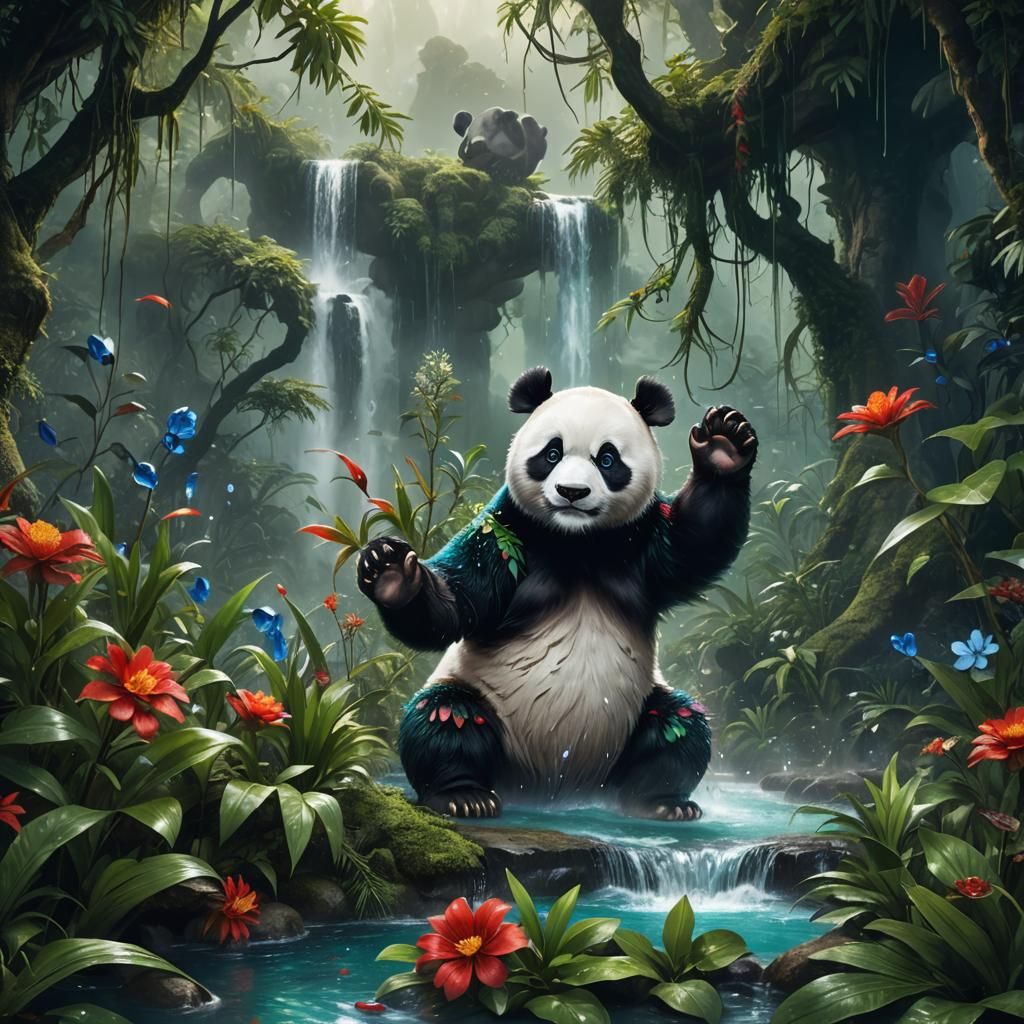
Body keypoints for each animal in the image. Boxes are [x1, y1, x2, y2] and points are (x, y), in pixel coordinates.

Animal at [357, 368, 757, 820]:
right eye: (552, 453)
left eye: (607, 459)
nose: (571, 492)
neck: (575, 542)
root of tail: (554, 787)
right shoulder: (507, 532)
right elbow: (460, 600)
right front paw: (390, 571)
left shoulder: (639, 539)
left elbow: (696, 542)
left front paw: (724, 443)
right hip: (483, 699)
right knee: (443, 720)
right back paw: (464, 795)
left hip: (632, 718)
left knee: (680, 725)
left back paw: (659, 801)